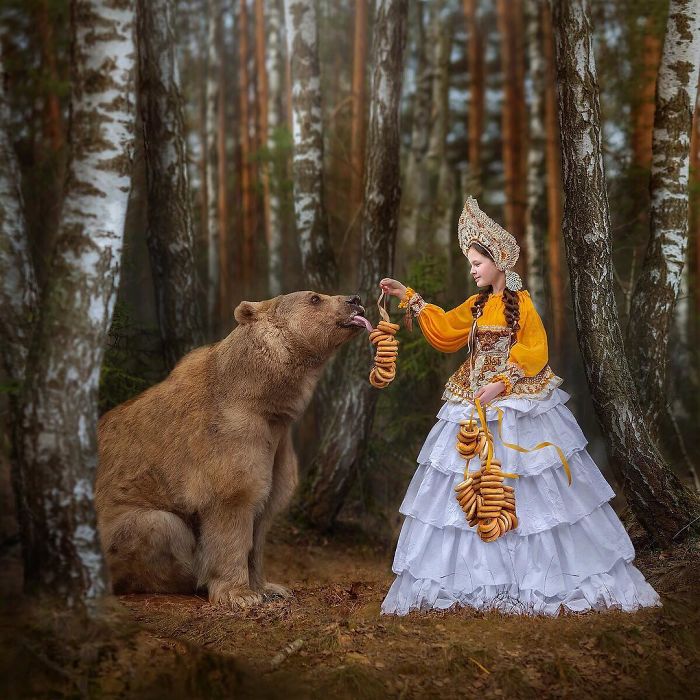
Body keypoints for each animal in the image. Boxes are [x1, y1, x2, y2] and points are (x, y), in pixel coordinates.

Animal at [95, 291, 368, 608]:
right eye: (314, 298)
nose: (355, 299)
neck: (262, 397)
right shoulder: (227, 434)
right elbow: (233, 505)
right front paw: (241, 594)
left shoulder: (277, 446)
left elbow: (263, 514)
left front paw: (270, 587)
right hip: (116, 529)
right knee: (161, 527)